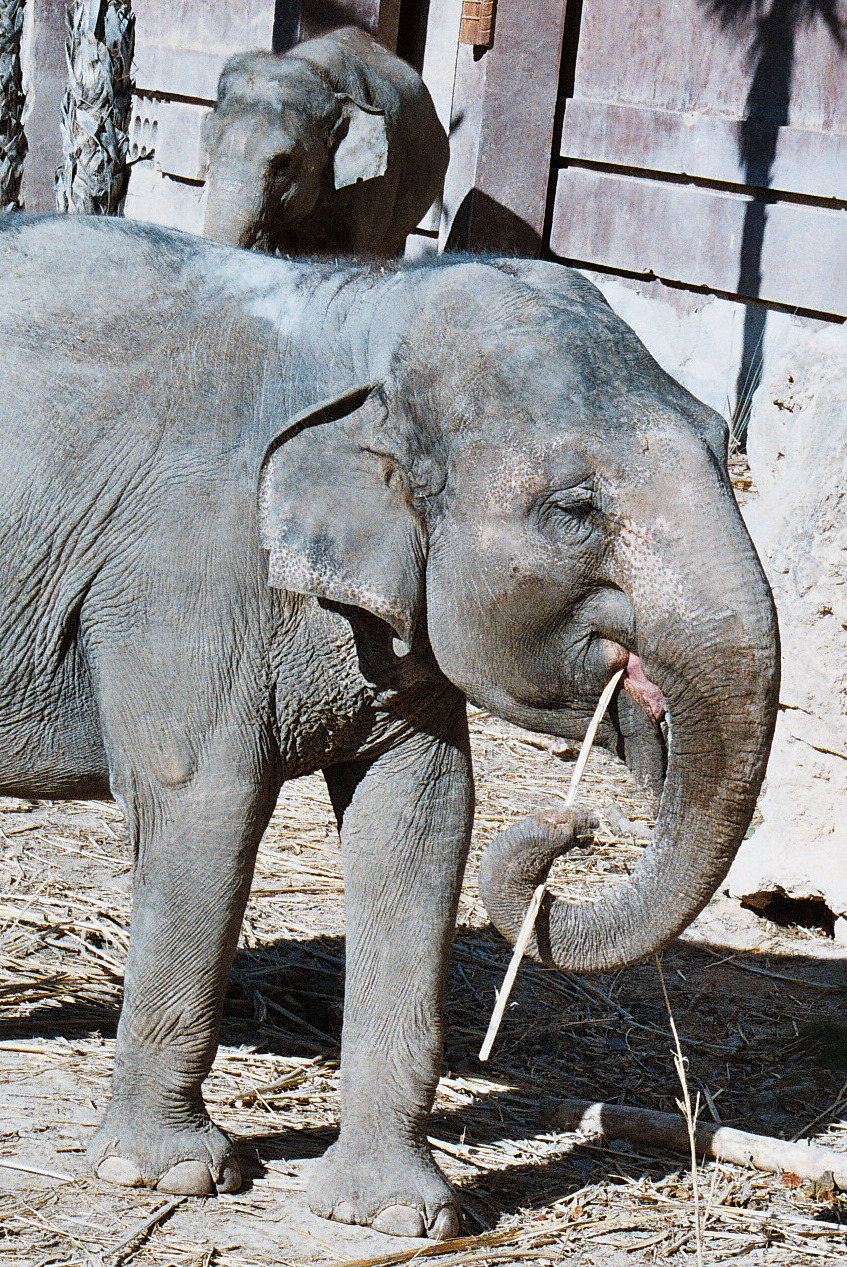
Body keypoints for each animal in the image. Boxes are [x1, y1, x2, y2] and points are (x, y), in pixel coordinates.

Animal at [0, 214, 778, 1240]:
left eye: (721, 440)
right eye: (573, 510)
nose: (570, 826)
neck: (359, 318)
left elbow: (423, 820)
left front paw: (395, 1217)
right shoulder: (179, 577)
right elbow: (201, 807)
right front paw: (170, 1175)